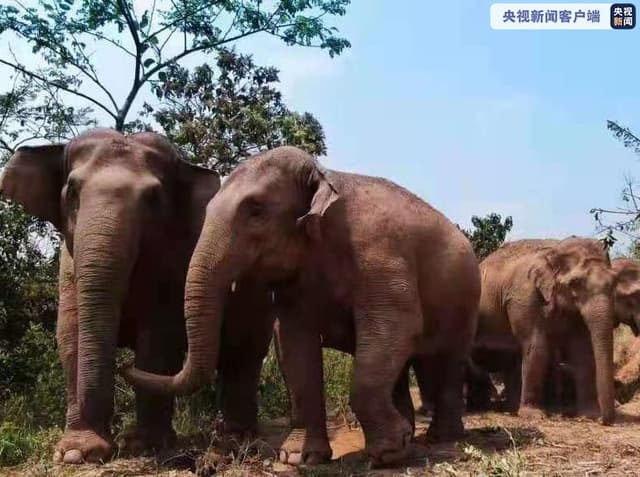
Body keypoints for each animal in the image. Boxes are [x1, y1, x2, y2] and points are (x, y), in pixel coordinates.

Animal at [0, 129, 274, 464]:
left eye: (153, 197)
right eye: (73, 190)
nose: (122, 367)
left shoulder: (173, 262)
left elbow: (158, 341)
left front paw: (145, 446)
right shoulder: (68, 264)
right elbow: (69, 337)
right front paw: (77, 453)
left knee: (243, 357)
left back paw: (237, 439)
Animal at [123, 146, 481, 466]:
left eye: (256, 210)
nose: (125, 369)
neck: (326, 176)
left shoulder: (380, 255)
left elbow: (394, 326)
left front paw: (390, 454)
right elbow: (293, 343)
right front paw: (299, 458)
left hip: (467, 299)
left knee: (448, 359)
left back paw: (441, 437)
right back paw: (409, 431)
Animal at [470, 238, 616, 424]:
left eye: (614, 282)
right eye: (575, 283)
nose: (604, 420)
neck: (556, 248)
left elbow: (583, 351)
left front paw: (590, 415)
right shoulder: (523, 297)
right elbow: (536, 347)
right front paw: (533, 415)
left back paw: (510, 406)